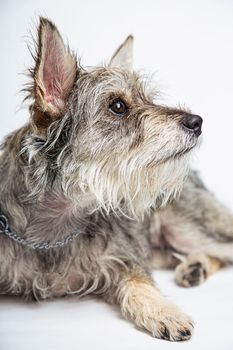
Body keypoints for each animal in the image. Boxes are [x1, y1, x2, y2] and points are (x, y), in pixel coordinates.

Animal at [0, 17, 233, 342]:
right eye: (118, 106)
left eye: (148, 99)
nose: (196, 122)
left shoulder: (127, 259)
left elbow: (140, 285)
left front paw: (164, 312)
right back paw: (195, 266)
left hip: (188, 229)